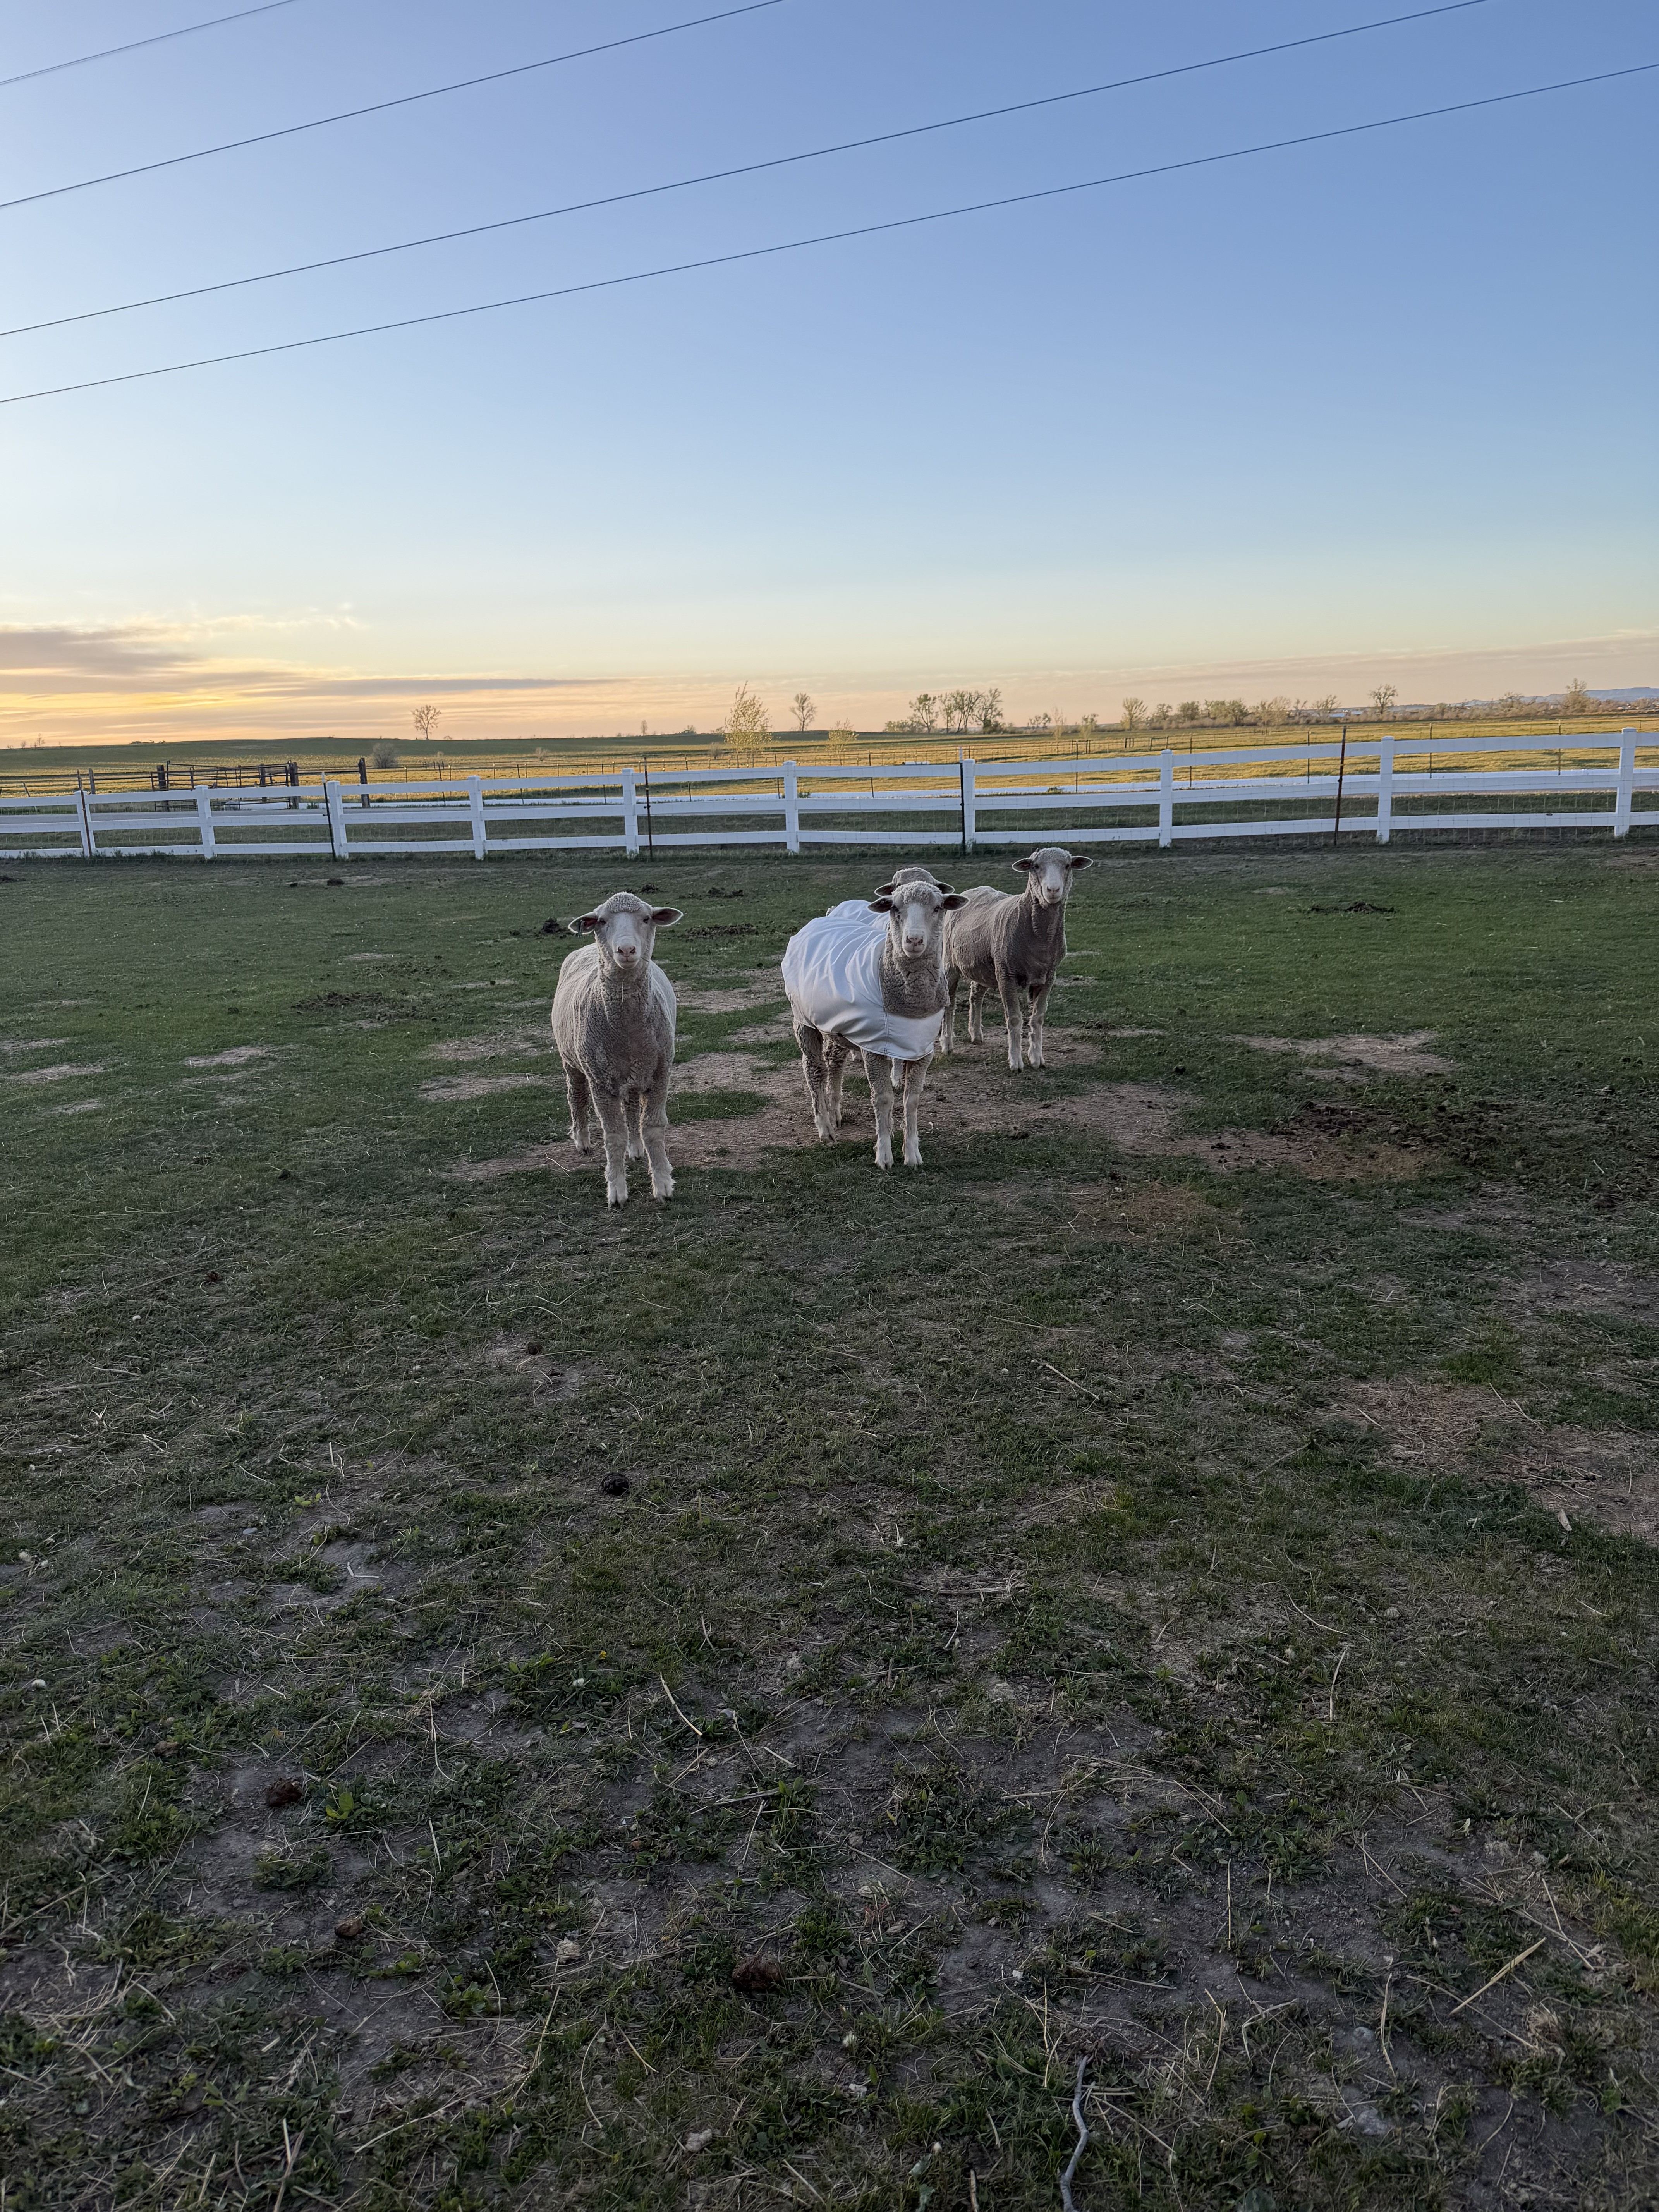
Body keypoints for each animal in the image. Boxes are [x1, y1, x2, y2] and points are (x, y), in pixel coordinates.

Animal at [551, 891, 684, 1205]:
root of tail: (587, 948)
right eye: (602, 921)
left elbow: (653, 1129)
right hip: (572, 1061)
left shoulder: (661, 1072)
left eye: (647, 918)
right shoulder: (601, 1080)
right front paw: (617, 1190)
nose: (626, 950)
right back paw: (582, 1140)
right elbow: (613, 1135)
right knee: (576, 1096)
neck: (627, 1030)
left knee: (633, 1105)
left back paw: (635, 1148)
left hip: (636, 1070)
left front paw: (663, 1184)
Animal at [782, 876, 966, 1169]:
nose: (914, 940)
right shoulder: (873, 1048)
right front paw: (884, 1154)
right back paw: (825, 1127)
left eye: (938, 908)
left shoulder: (922, 1049)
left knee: (834, 1062)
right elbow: (883, 1099)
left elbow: (912, 1100)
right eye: (894, 908)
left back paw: (835, 1111)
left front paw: (912, 1153)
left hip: (836, 1027)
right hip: (803, 1020)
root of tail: (817, 920)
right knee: (814, 1069)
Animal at [941, 845, 1092, 1071]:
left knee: (976, 996)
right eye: (1035, 866)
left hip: (984, 967)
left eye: (1068, 865)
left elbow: (1038, 1018)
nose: (1053, 891)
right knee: (949, 1004)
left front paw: (1037, 1058)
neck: (1039, 937)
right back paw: (947, 1045)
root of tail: (972, 891)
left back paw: (976, 1034)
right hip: (951, 963)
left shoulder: (1048, 977)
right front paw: (1016, 1061)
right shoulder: (1007, 975)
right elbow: (1014, 1019)